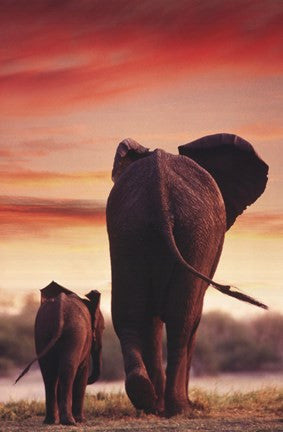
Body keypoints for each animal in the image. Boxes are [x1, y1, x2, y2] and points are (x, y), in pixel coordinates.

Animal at [106, 134, 268, 416]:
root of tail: (159, 191)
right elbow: (192, 316)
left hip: (127, 229)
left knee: (129, 313)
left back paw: (147, 398)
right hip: (195, 232)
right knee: (182, 319)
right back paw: (180, 408)